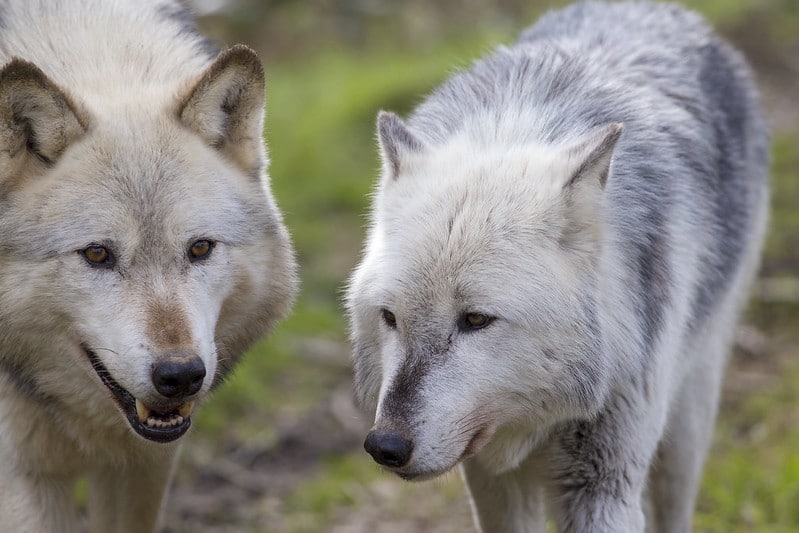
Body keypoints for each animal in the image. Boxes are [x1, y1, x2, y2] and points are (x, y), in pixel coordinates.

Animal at [346, 2, 772, 528]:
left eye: (475, 320)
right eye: (390, 317)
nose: (385, 446)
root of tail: (658, 10)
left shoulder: (604, 488)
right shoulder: (492, 482)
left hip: (687, 427)